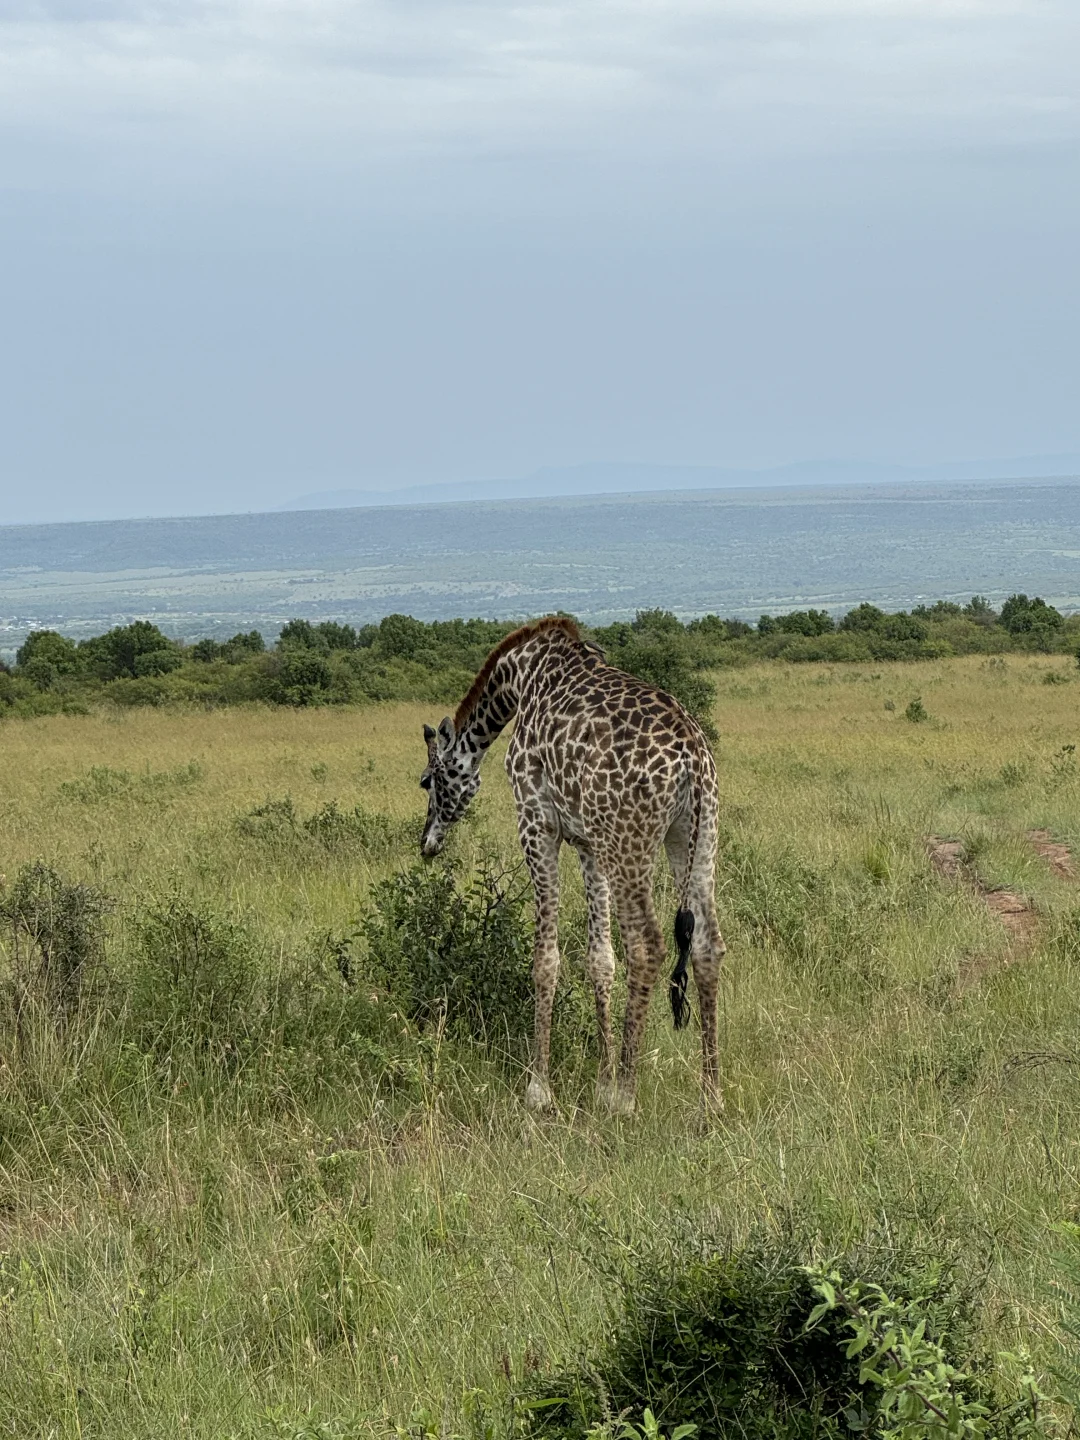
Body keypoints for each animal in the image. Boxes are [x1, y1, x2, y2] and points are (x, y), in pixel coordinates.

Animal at [420, 610, 728, 1111]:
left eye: (427, 781)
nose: (427, 842)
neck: (519, 679)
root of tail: (693, 759)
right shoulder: (588, 841)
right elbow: (599, 958)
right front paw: (600, 1081)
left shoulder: (536, 821)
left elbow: (545, 957)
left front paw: (540, 1087)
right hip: (695, 837)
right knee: (706, 945)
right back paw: (710, 1096)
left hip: (630, 840)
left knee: (647, 944)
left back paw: (628, 1096)